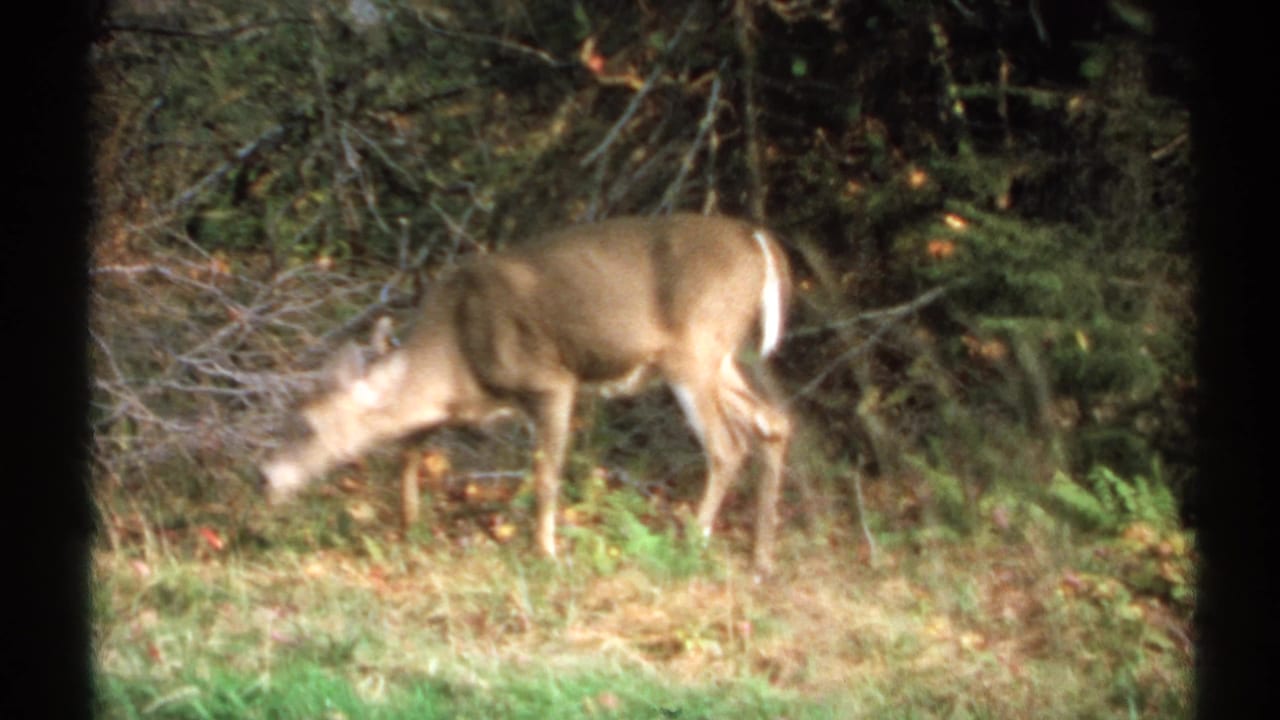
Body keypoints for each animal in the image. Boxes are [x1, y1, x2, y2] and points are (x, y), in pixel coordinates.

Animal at [259, 213, 793, 574]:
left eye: (308, 425)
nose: (264, 476)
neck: (454, 354)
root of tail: (758, 241)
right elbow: (410, 448)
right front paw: (408, 527)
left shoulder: (550, 380)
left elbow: (545, 474)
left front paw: (546, 553)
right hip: (722, 357)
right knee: (774, 423)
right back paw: (762, 559)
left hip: (694, 349)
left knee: (728, 445)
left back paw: (693, 543)